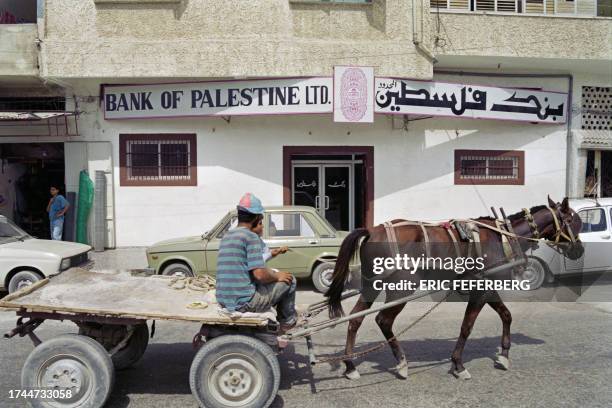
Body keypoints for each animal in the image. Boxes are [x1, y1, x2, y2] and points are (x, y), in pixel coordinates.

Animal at [326, 196, 584, 380]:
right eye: (573, 221)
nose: (579, 250)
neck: (503, 237)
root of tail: (372, 230)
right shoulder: (480, 289)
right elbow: (466, 326)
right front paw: (458, 365)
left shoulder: (489, 286)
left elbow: (507, 315)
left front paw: (503, 356)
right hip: (402, 287)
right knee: (383, 320)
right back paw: (401, 362)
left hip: (371, 285)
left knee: (355, 319)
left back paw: (350, 365)